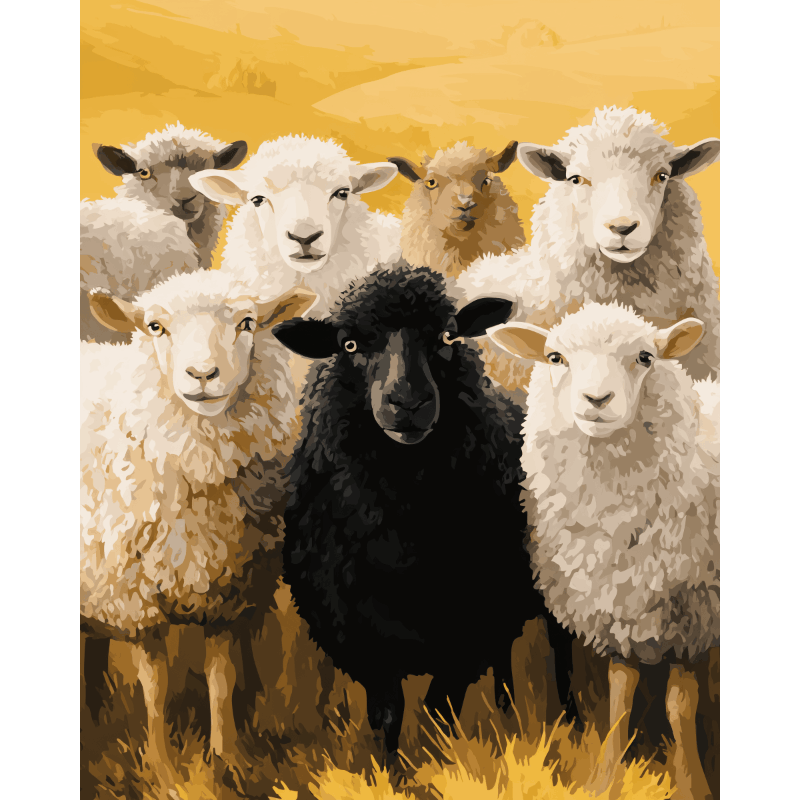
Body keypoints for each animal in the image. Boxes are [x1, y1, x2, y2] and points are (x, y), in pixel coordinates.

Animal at [80, 269, 316, 776]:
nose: (203, 375)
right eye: (155, 327)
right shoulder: (136, 599)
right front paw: (164, 771)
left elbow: (220, 679)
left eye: (248, 322)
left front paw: (230, 760)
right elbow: (155, 688)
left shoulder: (228, 591)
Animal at [271, 265, 572, 756]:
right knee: (506, 661)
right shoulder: (362, 636)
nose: (408, 402)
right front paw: (389, 769)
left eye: (448, 336)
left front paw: (441, 763)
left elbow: (438, 712)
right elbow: (387, 717)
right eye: (349, 345)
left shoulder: (466, 634)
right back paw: (509, 715)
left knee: (562, 658)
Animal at [489, 302, 719, 799]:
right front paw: (602, 781)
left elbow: (679, 705)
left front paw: (691, 785)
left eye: (646, 357)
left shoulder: (692, 613)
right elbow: (618, 700)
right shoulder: (617, 610)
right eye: (555, 357)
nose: (597, 400)